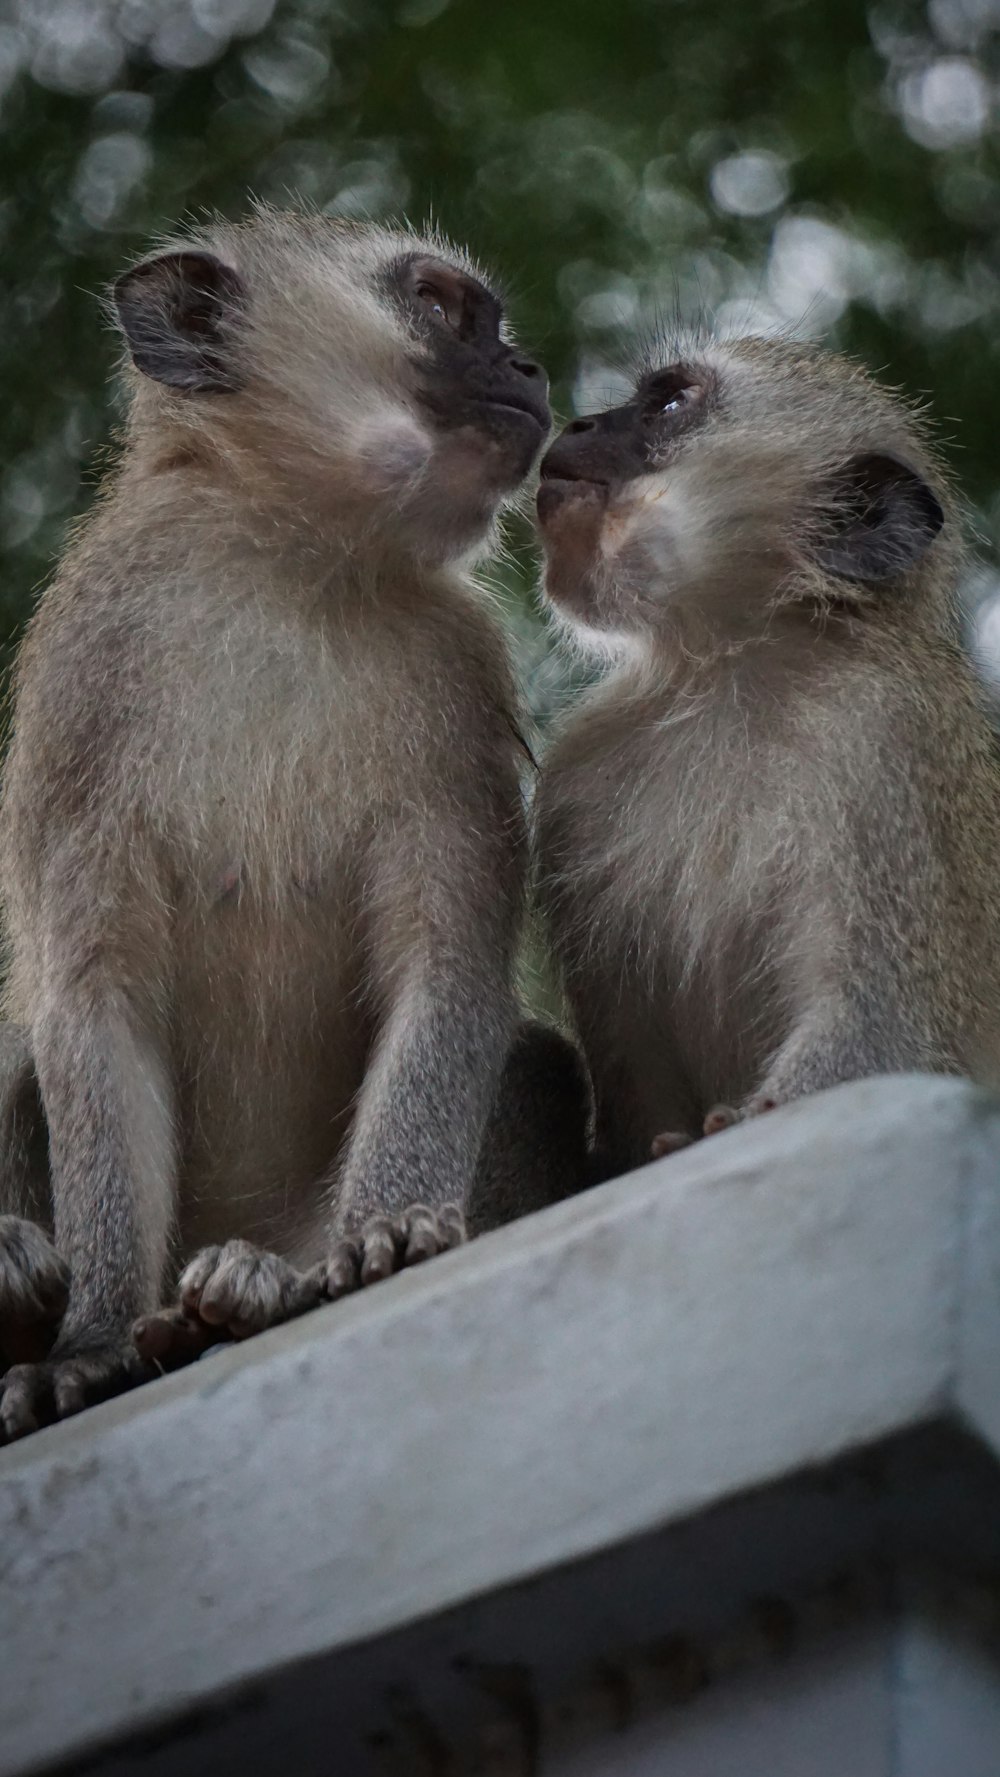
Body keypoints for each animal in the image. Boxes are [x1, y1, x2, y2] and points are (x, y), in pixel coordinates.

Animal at [0, 204, 568, 1428]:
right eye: (441, 305)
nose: (530, 367)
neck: (293, 561)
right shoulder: (84, 675)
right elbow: (97, 1001)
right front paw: (89, 1339)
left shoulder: (458, 676)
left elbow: (447, 965)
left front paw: (389, 1234)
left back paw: (255, 1292)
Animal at [532, 334, 1000, 1187]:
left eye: (669, 402)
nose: (578, 421)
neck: (727, 665)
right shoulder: (578, 779)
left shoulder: (882, 741)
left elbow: (879, 1028)